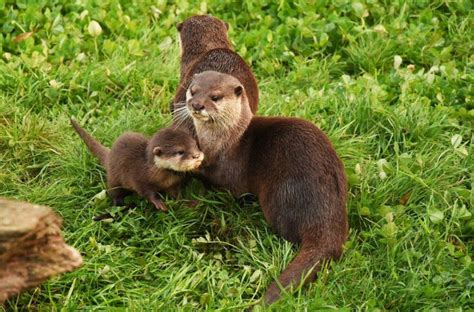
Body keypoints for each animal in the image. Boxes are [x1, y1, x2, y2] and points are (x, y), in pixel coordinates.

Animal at [71, 119, 204, 214]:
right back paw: (121, 207)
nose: (197, 155)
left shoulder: (172, 184)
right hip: (114, 178)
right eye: (180, 152)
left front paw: (189, 203)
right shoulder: (138, 178)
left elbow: (177, 195)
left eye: (195, 144)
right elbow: (146, 192)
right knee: (114, 193)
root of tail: (109, 156)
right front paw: (158, 202)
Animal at [181, 72, 348, 304]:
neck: (228, 140)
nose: (197, 105)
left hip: (279, 196)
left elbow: (217, 181)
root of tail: (327, 221)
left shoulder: (228, 169)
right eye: (193, 90)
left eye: (215, 97)